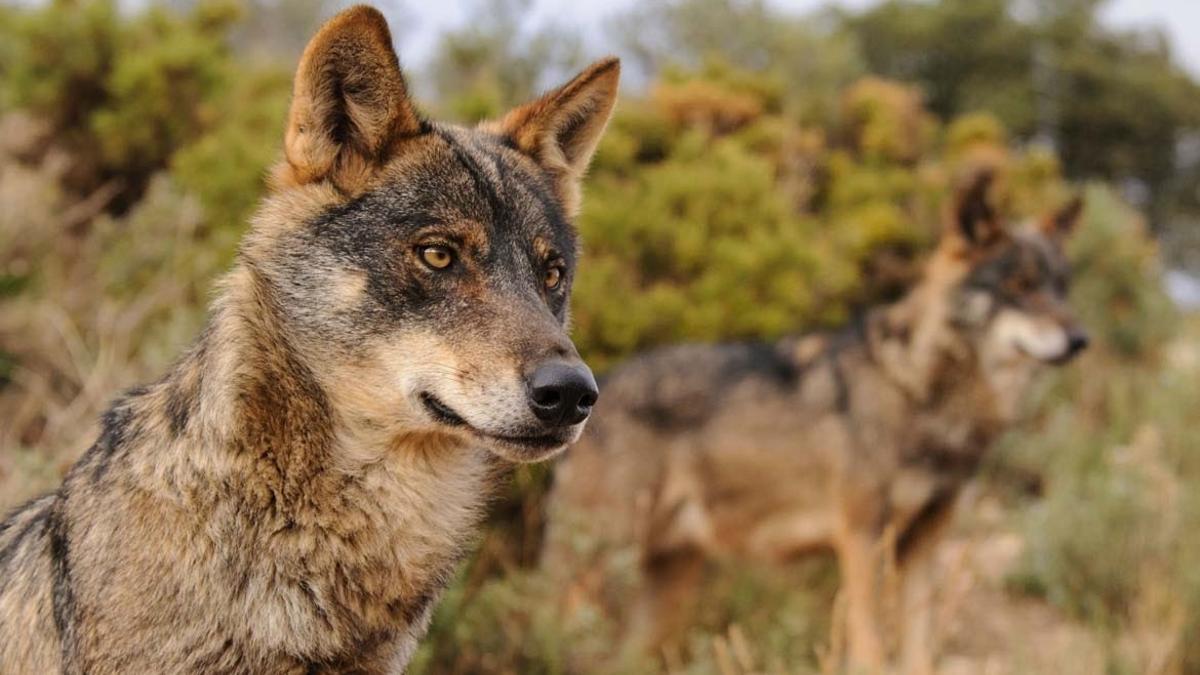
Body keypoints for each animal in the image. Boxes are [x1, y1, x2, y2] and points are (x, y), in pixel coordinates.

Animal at [549, 174, 1094, 672]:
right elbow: (871, 649)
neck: (920, 390)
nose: (1081, 339)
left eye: (1061, 287)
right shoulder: (862, 539)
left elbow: (919, 651)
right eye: (1019, 286)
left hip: (667, 587)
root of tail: (595, 389)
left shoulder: (923, 546)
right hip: (598, 573)